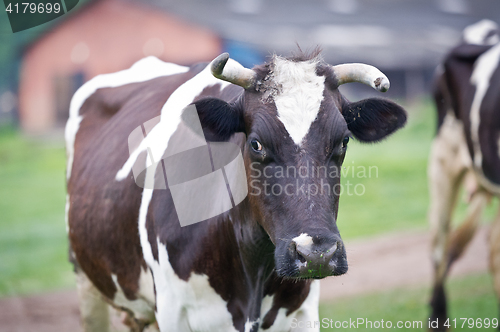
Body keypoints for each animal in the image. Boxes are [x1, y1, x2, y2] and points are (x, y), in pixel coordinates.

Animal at [65, 48, 406, 330]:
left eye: (344, 141)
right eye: (256, 143)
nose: (316, 253)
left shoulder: (304, 309)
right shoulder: (172, 310)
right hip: (86, 280)